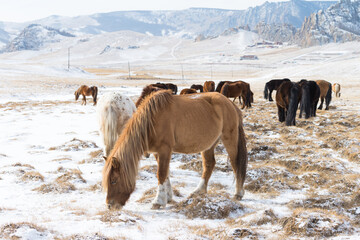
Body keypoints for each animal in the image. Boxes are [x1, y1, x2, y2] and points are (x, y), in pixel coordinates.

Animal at [101, 91, 248, 209]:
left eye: (114, 180)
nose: (110, 205)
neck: (151, 121)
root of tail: (230, 103)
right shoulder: (157, 153)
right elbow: (165, 173)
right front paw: (168, 197)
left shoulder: (165, 150)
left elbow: (161, 173)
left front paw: (158, 201)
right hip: (209, 145)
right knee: (209, 165)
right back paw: (199, 191)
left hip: (229, 139)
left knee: (235, 164)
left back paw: (238, 193)